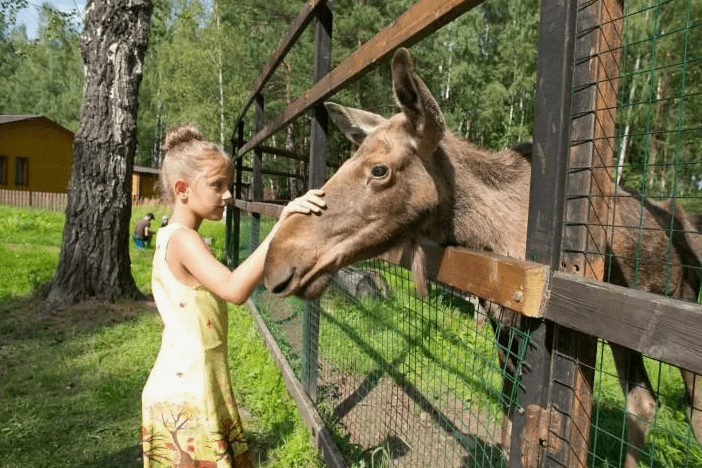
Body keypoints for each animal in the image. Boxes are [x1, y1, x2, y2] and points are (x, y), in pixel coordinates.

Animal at [262, 48, 702, 468]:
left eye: (380, 169)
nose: (276, 262)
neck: (486, 235)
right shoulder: (498, 316)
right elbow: (508, 408)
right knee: (643, 399)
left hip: (681, 305)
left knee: (690, 407)